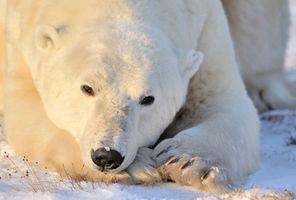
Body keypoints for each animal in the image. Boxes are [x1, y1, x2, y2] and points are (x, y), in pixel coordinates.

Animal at [0, 0, 292, 194]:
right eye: (87, 88)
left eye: (147, 99)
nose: (107, 156)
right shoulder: (20, 35)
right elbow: (27, 113)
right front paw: (138, 166)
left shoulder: (205, 26)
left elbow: (223, 102)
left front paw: (187, 163)